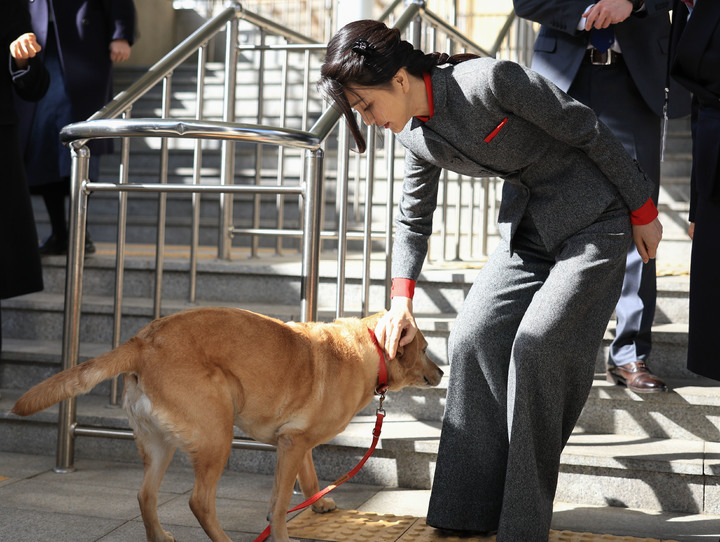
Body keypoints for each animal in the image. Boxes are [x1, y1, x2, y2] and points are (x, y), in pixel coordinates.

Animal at [11, 308, 442, 540]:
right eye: (424, 348)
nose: (441, 372)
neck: (371, 348)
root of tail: (142, 341)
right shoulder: (293, 443)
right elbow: (281, 503)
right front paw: (282, 533)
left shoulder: (294, 442)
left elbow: (307, 476)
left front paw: (318, 504)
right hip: (217, 432)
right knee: (199, 501)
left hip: (159, 445)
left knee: (145, 495)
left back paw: (158, 536)